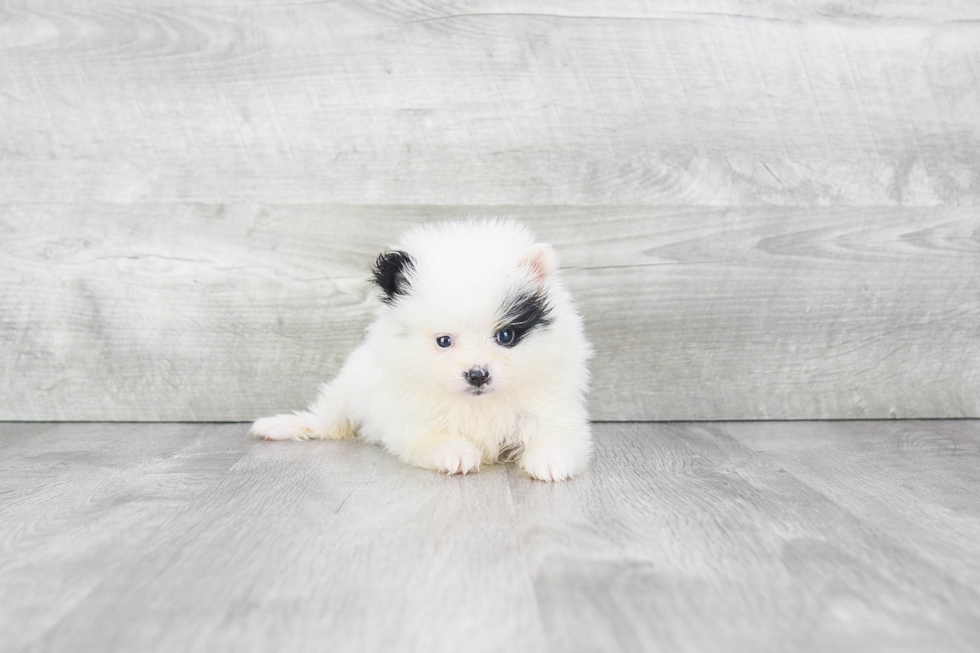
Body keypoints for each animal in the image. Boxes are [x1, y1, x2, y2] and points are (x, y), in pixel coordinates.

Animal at [249, 219, 592, 478]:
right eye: (444, 341)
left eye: (505, 336)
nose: (477, 375)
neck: (479, 404)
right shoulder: (408, 415)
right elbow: (432, 435)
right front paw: (457, 453)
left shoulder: (551, 401)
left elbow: (554, 432)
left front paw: (550, 460)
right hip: (349, 388)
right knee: (328, 419)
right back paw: (280, 425)